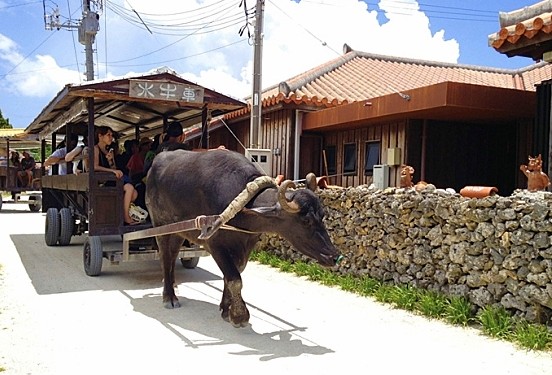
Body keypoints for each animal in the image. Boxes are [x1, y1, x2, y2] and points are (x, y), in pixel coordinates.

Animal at [144, 148, 340, 328]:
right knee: (165, 257)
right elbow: (234, 278)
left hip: (178, 232)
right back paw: (169, 297)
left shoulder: (246, 245)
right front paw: (239, 315)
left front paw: (226, 308)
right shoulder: (215, 244)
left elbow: (231, 275)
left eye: (322, 215)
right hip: (161, 226)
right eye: (306, 220)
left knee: (172, 257)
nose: (334, 256)